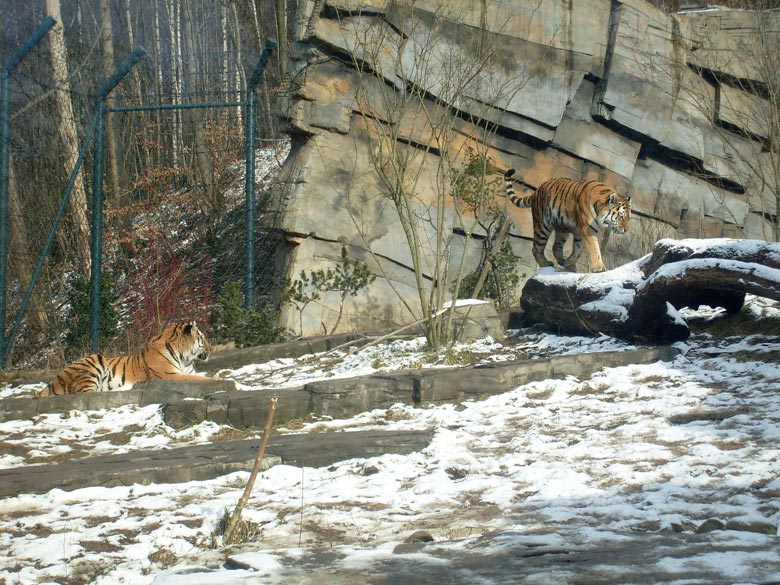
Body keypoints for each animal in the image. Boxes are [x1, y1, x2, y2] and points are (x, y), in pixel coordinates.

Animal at [38, 320, 218, 396]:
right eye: (202, 339)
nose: (211, 348)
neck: (184, 358)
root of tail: (54, 380)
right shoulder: (170, 375)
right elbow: (202, 379)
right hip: (94, 360)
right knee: (86, 392)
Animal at [502, 167, 632, 272]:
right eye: (621, 216)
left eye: (629, 218)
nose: (626, 230)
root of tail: (537, 191)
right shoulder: (587, 229)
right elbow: (594, 249)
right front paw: (599, 268)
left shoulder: (583, 232)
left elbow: (577, 251)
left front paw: (569, 263)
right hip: (542, 226)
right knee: (536, 248)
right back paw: (545, 263)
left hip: (562, 228)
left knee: (555, 247)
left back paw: (562, 261)